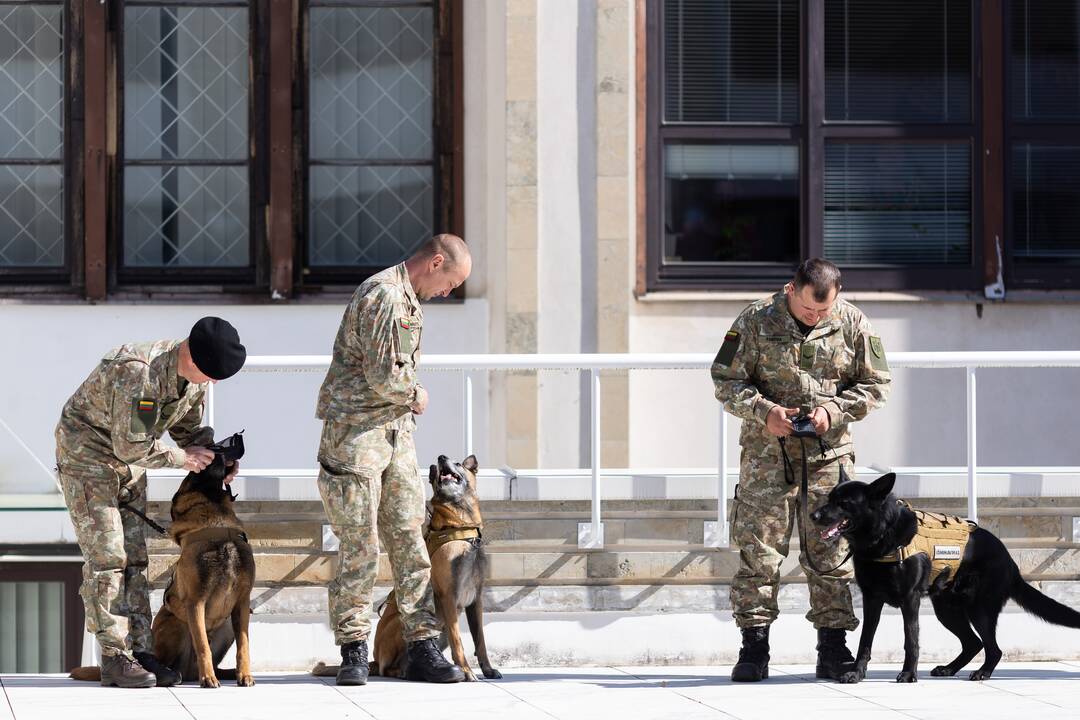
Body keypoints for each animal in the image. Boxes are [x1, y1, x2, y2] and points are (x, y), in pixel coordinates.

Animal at [812, 474, 1080, 686]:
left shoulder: (910, 600)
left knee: (993, 648)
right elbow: (865, 642)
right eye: (829, 498)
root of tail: (1010, 561)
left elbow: (911, 640)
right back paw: (950, 668)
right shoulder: (871, 601)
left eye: (844, 503)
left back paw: (982, 672)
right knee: (973, 643)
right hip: (947, 610)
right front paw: (856, 674)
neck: (882, 536)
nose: (813, 515)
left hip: (979, 610)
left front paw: (908, 674)